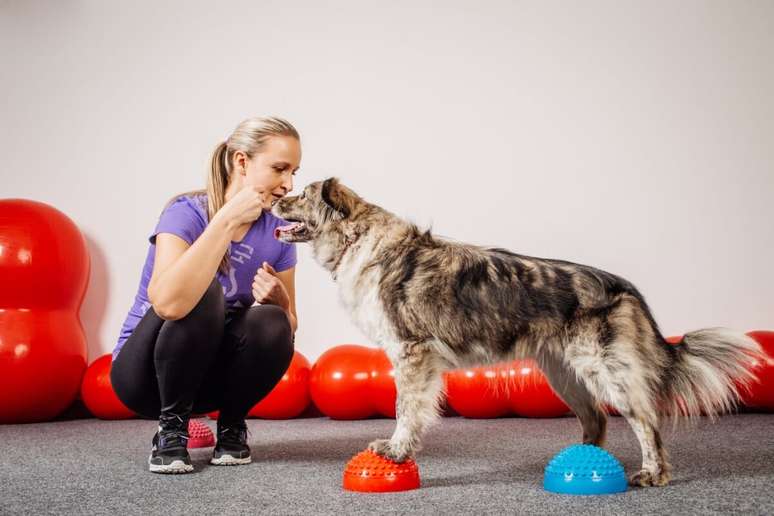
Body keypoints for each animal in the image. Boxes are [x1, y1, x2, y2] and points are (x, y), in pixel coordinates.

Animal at [272, 178, 764, 488]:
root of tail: (623, 287)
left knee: (646, 421)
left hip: (604, 369)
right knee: (597, 419)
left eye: (302, 193)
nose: (275, 199)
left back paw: (653, 474)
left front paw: (395, 451)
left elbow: (405, 410)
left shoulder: (411, 353)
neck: (360, 239)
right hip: (565, 374)